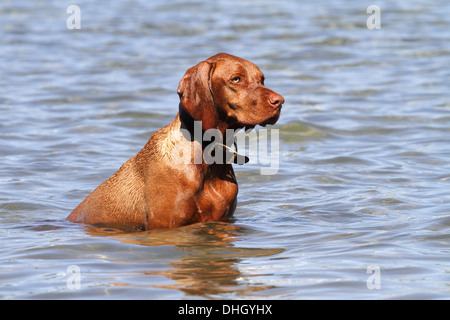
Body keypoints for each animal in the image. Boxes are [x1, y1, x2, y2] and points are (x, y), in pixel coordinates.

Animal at [66, 53, 284, 231]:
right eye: (236, 79)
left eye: (262, 79)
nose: (280, 101)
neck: (208, 159)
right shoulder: (167, 225)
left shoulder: (223, 221)